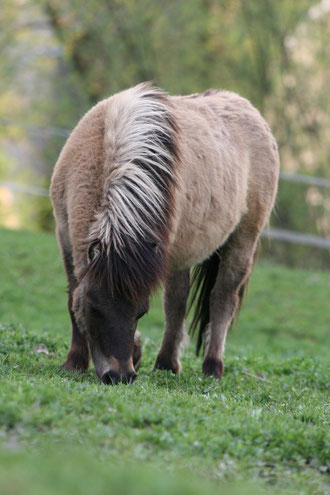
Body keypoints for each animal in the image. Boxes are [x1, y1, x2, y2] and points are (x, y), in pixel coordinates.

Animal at [50, 82, 280, 384]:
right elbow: (71, 298)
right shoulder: (66, 237)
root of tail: (249, 110)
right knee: (177, 302)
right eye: (93, 307)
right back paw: (166, 363)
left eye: (141, 312)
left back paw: (212, 366)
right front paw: (75, 362)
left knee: (221, 300)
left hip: (242, 241)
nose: (121, 376)